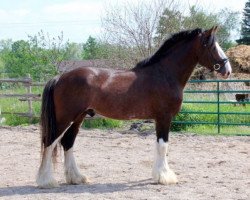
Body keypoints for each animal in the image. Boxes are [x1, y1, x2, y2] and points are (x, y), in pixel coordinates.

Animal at [36, 26, 232, 188]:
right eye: (211, 46)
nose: (227, 70)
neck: (164, 74)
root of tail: (60, 78)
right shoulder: (164, 117)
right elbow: (163, 146)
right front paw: (165, 177)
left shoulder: (159, 119)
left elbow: (160, 145)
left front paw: (159, 175)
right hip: (64, 118)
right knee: (49, 142)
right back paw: (46, 181)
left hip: (79, 117)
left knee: (67, 142)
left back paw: (77, 178)